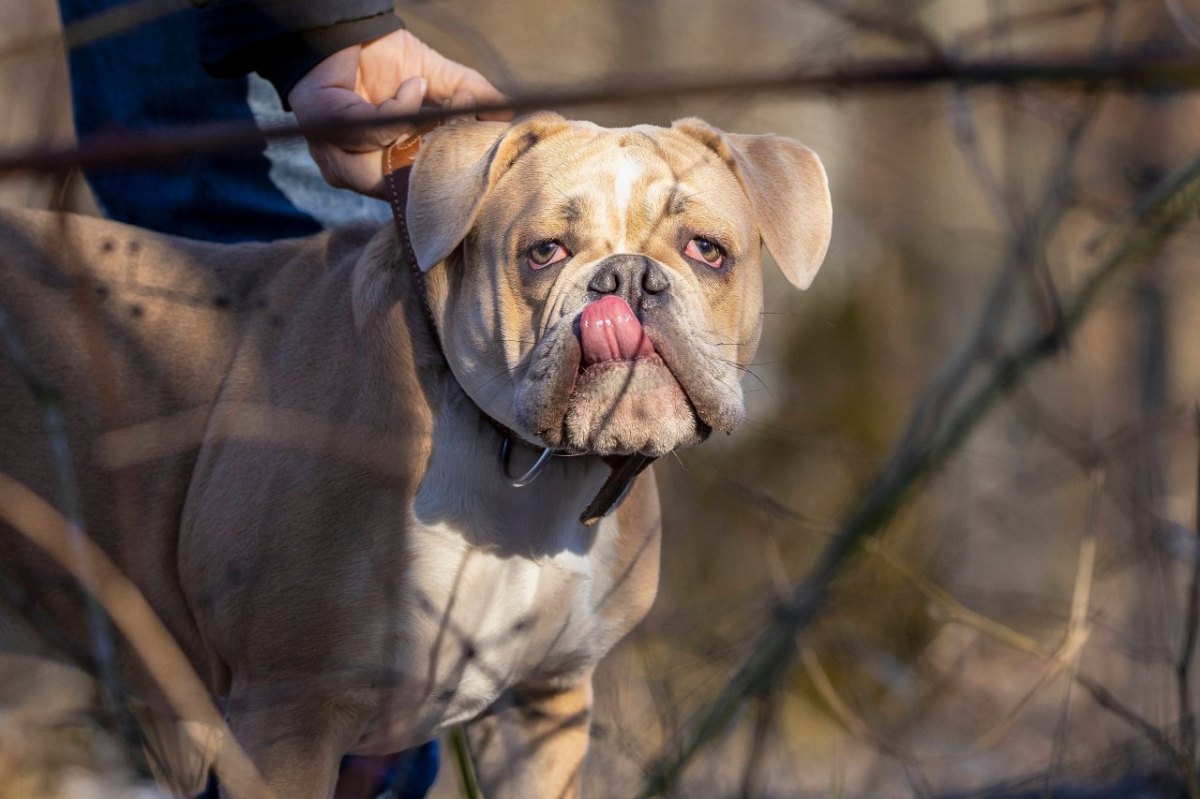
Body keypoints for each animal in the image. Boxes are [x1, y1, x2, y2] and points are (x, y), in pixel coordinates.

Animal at [0, 113, 825, 796]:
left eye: (707, 251)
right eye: (543, 253)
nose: (626, 277)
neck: (517, 463)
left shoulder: (545, 708)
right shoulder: (287, 713)